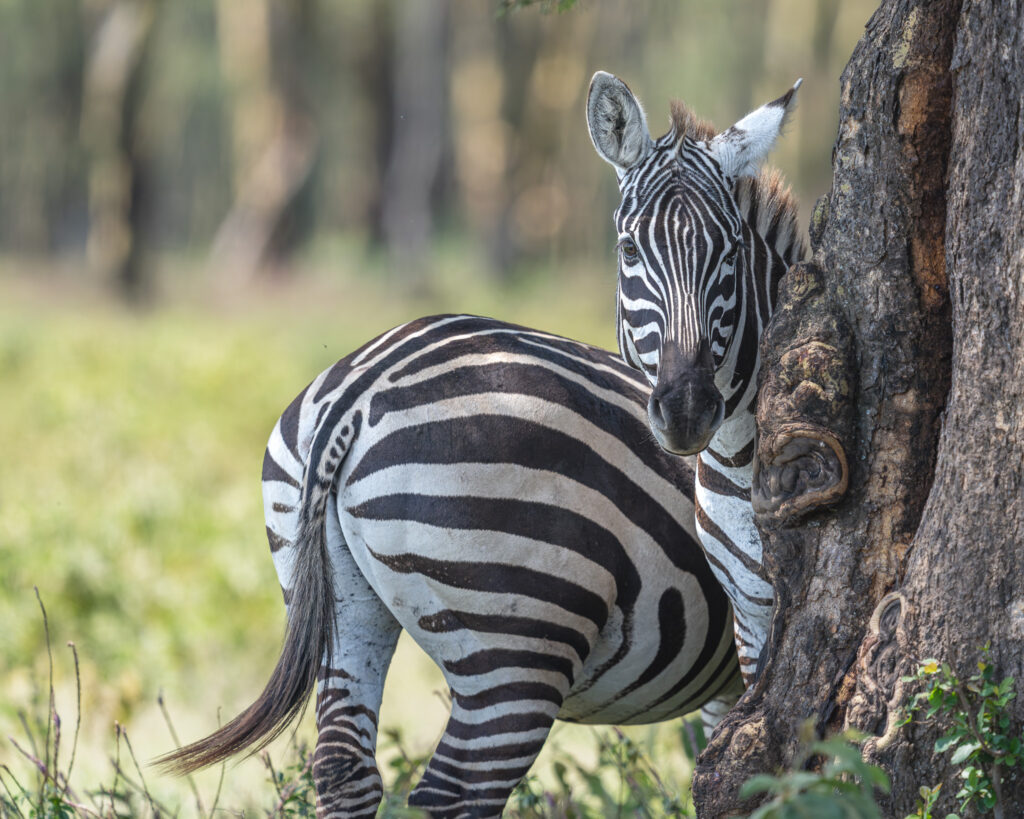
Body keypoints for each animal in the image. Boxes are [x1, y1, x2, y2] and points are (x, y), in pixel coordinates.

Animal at [160, 314, 742, 818]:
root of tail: (359, 390)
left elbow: (717, 764)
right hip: (521, 636)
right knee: (458, 790)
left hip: (338, 607)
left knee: (343, 769)